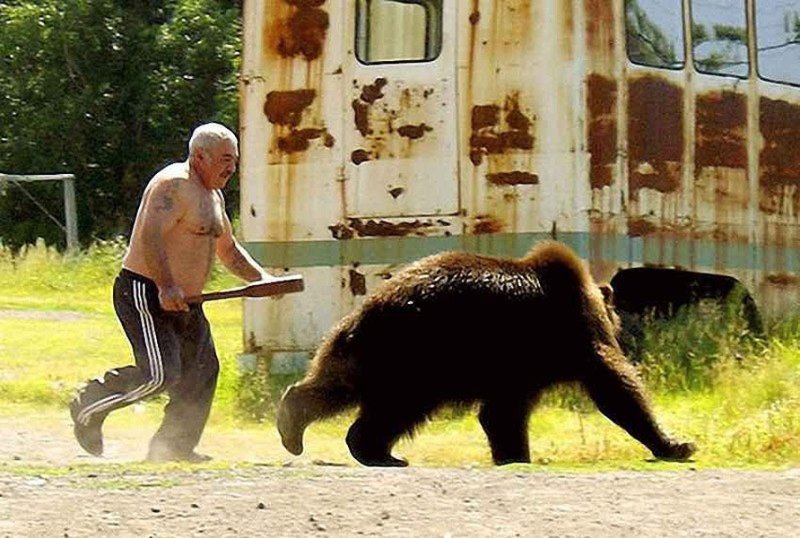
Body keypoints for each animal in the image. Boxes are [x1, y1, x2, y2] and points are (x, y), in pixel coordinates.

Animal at [277, 240, 696, 466]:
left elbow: (502, 414)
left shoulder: (517, 368)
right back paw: (377, 451)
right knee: (398, 408)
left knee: (336, 386)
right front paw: (677, 444)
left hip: (367, 353)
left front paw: (514, 453)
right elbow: (614, 386)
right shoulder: (566, 336)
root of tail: (365, 311)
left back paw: (296, 426)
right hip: (419, 354)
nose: (623, 324)